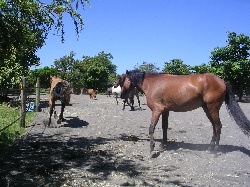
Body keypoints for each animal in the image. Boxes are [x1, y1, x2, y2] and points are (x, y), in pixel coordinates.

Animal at [119, 69, 250, 156]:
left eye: (122, 80)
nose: (121, 96)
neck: (153, 84)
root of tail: (222, 81)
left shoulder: (157, 110)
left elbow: (152, 128)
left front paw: (152, 149)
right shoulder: (165, 111)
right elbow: (164, 127)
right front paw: (163, 144)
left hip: (212, 108)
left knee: (217, 126)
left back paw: (216, 150)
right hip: (207, 109)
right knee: (214, 126)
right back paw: (210, 147)